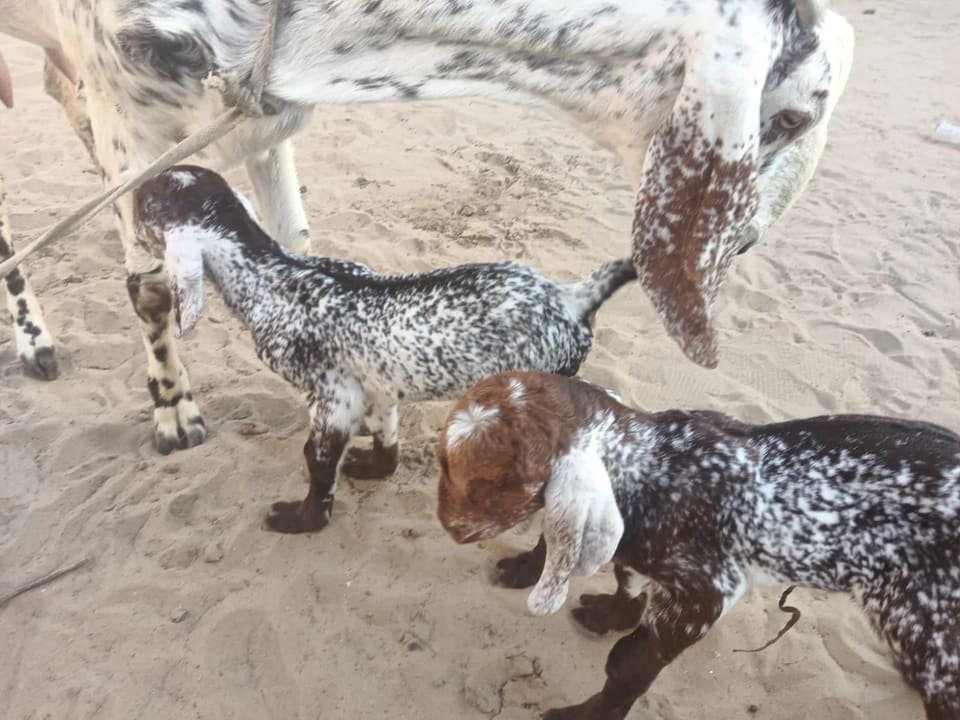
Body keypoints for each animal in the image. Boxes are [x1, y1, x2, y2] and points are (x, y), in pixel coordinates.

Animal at [0, 0, 853, 454]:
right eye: (795, 114)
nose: (746, 239)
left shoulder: (267, 122)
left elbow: (295, 244)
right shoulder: (132, 126)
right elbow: (148, 288)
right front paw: (174, 413)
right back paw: (34, 339)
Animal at [134, 165, 636, 533]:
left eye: (143, 207)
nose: (127, 195)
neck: (275, 276)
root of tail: (573, 296)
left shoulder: (332, 396)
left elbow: (317, 460)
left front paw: (303, 519)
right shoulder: (374, 382)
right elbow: (385, 433)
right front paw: (376, 468)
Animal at [437, 371, 960, 720]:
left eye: (488, 483)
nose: (448, 523)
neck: (652, 467)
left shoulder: (705, 594)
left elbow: (625, 666)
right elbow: (627, 581)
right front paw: (611, 614)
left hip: (927, 625)